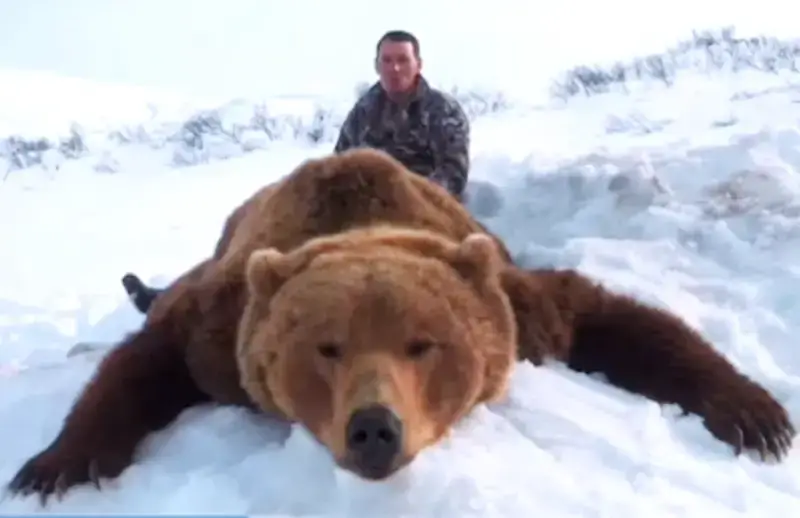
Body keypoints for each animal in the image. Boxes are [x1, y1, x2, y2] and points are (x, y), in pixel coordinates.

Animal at [6, 147, 795, 506]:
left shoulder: (518, 305)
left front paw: (756, 415)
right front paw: (53, 465)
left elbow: (608, 317)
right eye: (326, 348)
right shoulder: (219, 328)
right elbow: (144, 359)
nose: (374, 428)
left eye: (424, 344)